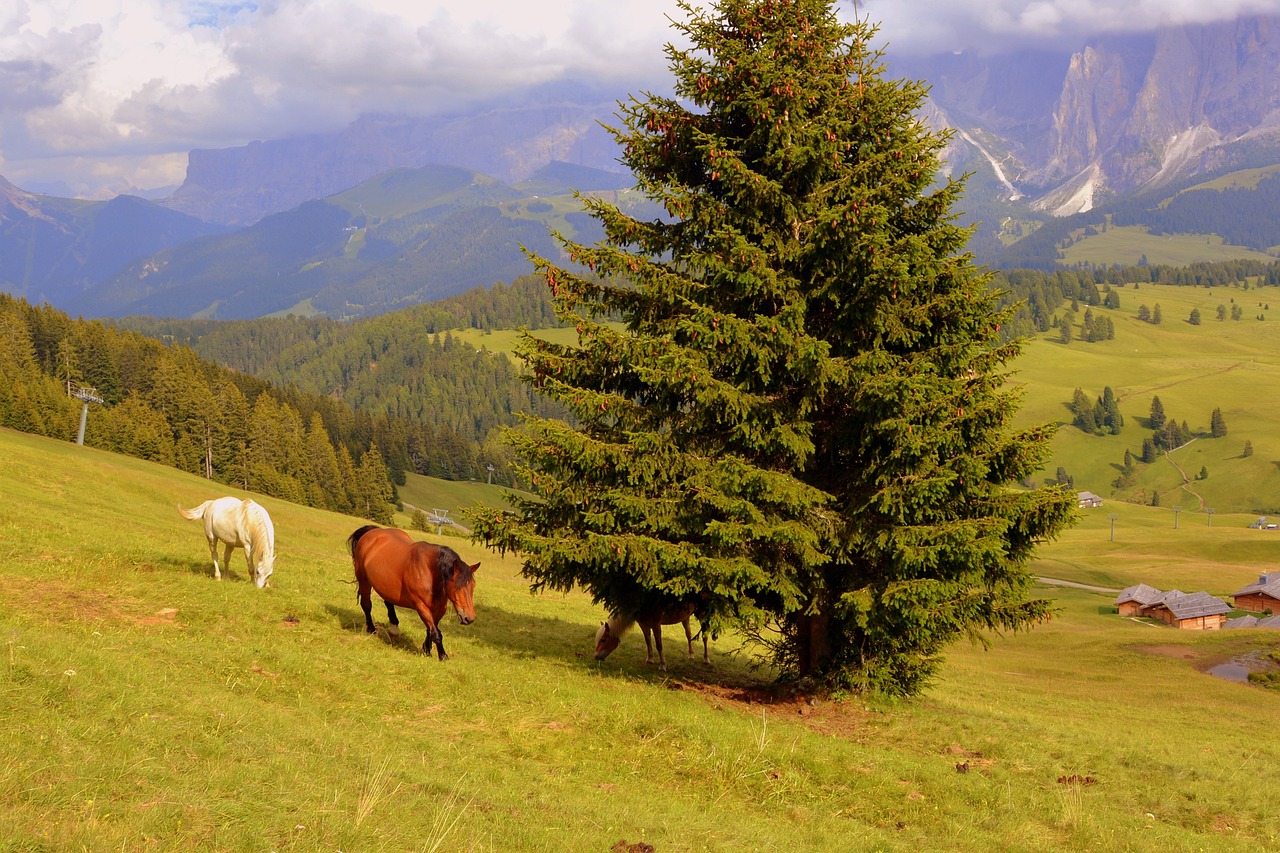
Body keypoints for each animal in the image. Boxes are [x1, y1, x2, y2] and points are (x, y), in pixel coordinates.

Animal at [348, 525, 478, 655]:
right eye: (457, 586)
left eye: (473, 585)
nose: (469, 618)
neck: (429, 571)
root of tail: (373, 531)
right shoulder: (421, 606)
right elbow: (436, 633)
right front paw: (442, 655)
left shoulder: (440, 609)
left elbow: (431, 629)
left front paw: (427, 649)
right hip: (364, 580)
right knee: (366, 605)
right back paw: (371, 629)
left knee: (388, 602)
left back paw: (393, 628)